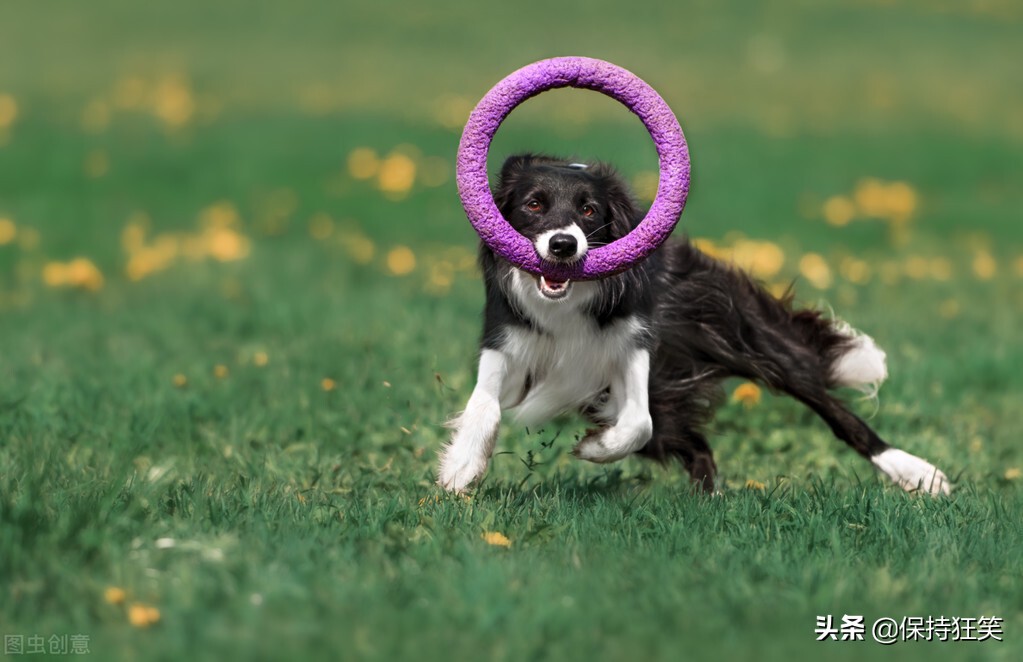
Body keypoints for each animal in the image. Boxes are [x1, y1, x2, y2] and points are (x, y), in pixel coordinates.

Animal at [437, 154, 949, 497]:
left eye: (588, 210)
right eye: (534, 204)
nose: (564, 245)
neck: (566, 304)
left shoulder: (635, 345)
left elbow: (636, 422)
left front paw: (597, 448)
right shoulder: (507, 342)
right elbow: (485, 404)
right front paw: (461, 467)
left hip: (740, 336)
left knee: (832, 409)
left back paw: (918, 473)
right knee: (696, 443)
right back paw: (705, 503)